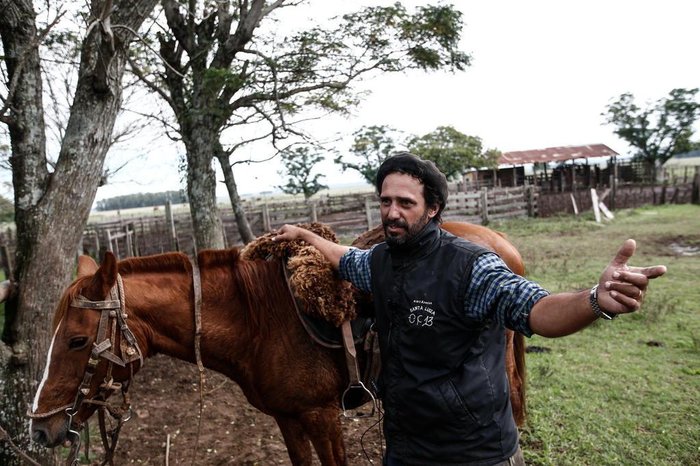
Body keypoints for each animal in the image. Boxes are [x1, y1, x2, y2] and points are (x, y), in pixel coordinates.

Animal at [30, 224, 528, 464]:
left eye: (76, 340)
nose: (39, 430)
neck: (257, 321)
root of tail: (500, 247)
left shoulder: (323, 416)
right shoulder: (288, 418)